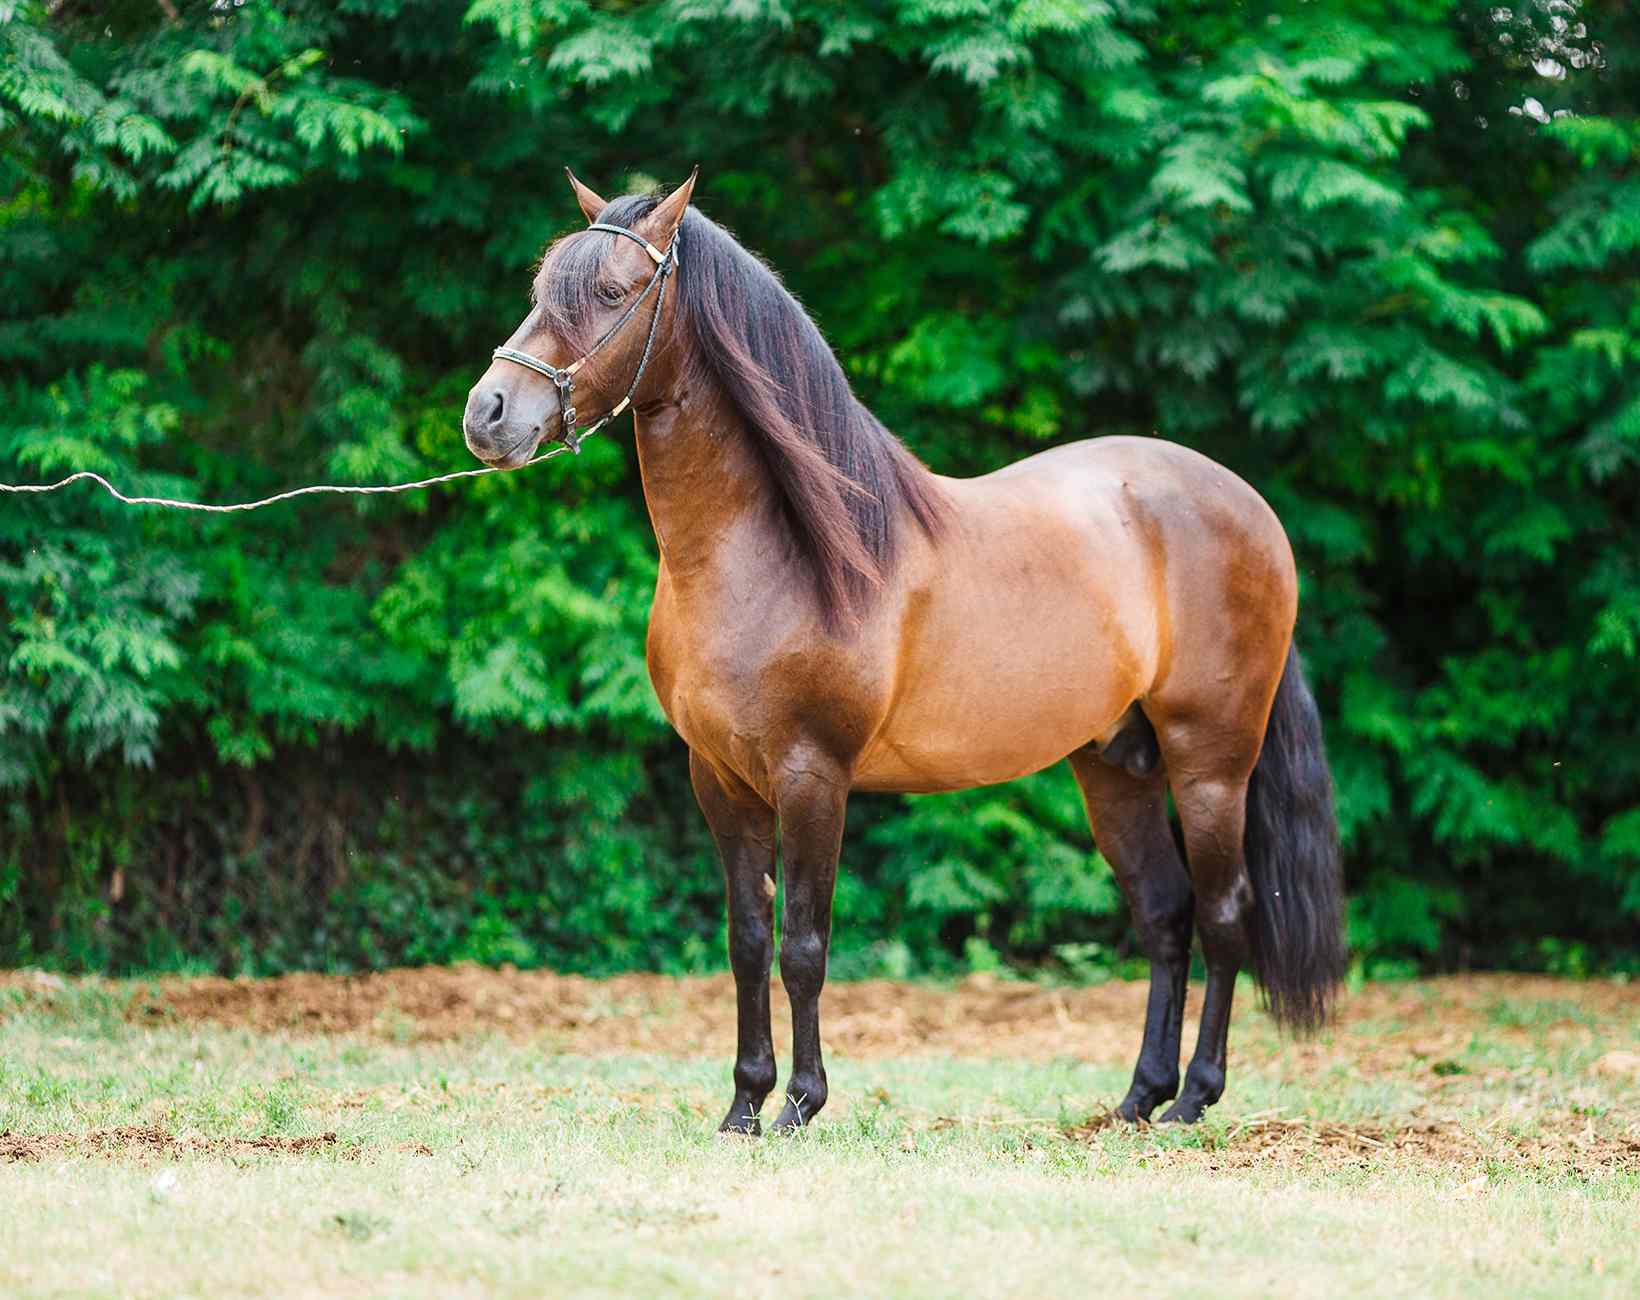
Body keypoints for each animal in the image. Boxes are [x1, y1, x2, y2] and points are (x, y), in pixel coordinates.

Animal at [462, 169, 1344, 1127]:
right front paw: (743, 1108)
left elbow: (805, 945)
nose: (487, 413)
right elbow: (747, 940)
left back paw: (1194, 1101)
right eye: (541, 291)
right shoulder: (720, 778)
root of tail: (1248, 506)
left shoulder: (813, 775)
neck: (773, 553)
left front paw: (800, 1106)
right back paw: (1140, 1097)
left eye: (613, 293)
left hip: (1210, 762)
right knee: (1165, 914)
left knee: (1224, 913)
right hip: (1115, 766)